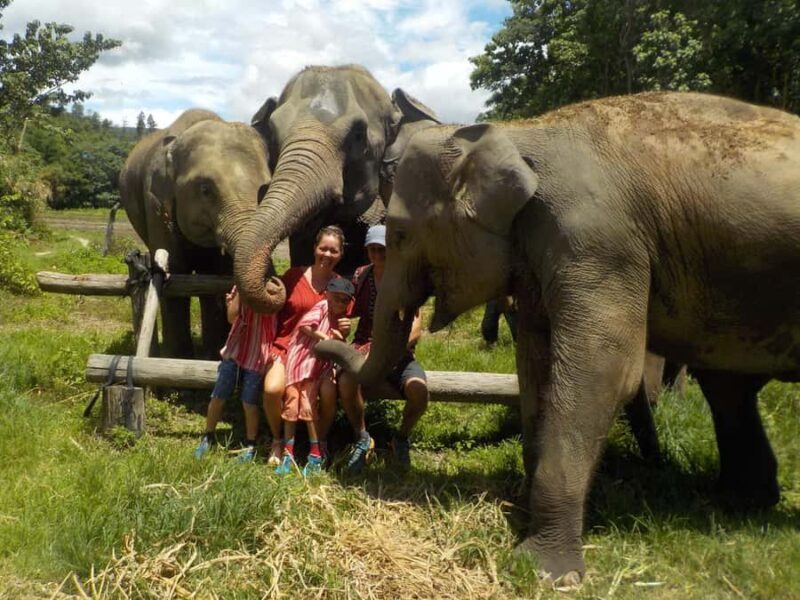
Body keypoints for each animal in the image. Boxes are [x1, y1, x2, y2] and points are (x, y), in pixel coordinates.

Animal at [119, 109, 271, 359]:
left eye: (266, 188)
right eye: (205, 189)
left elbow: (214, 277)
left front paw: (211, 356)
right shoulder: (157, 204)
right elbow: (174, 274)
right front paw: (177, 360)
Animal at [316, 92, 800, 584]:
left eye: (400, 233)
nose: (322, 337)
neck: (516, 133)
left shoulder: (598, 243)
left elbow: (603, 372)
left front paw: (541, 569)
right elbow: (536, 363)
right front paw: (519, 505)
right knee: (728, 388)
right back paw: (740, 504)